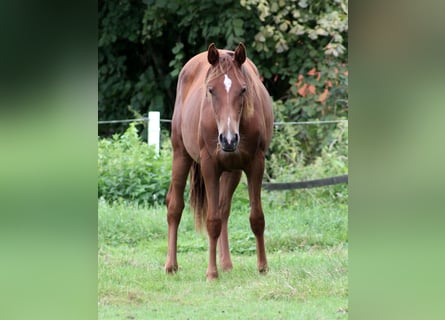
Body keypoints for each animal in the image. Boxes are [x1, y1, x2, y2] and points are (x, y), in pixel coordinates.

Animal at [165, 43, 272, 280]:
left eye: (243, 90)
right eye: (211, 90)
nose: (229, 139)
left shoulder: (255, 164)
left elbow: (257, 218)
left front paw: (263, 267)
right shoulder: (209, 166)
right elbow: (212, 221)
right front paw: (211, 273)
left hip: (233, 172)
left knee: (223, 210)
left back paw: (226, 263)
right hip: (180, 155)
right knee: (175, 207)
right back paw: (171, 265)